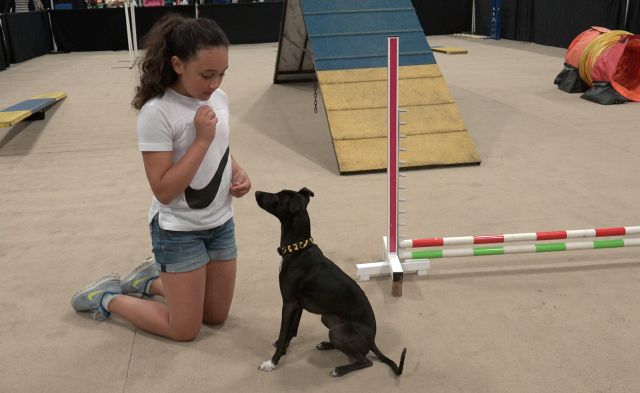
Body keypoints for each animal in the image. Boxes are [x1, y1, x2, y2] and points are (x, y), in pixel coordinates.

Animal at [254, 188, 404, 376]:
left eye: (276, 197)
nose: (256, 192)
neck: (298, 250)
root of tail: (372, 342)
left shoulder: (288, 303)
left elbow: (283, 335)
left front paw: (272, 362)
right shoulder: (297, 305)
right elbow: (291, 331)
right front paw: (284, 350)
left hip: (338, 331)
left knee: (365, 361)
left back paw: (340, 369)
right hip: (327, 318)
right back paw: (326, 345)